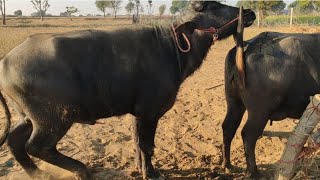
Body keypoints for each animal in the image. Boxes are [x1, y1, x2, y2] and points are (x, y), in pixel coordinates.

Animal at [0, 0, 255, 179]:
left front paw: (140, 169)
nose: (249, 13)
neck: (170, 48)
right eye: (214, 6)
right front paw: (152, 173)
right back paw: (81, 170)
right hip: (56, 117)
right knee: (37, 146)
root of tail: (5, 61)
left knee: (14, 140)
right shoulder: (150, 112)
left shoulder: (137, 114)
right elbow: (147, 146)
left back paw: (38, 173)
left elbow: (137, 145)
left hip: (28, 117)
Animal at [222, 31, 320, 179]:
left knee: (228, 127)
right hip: (259, 112)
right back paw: (253, 172)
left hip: (234, 102)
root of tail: (246, 46)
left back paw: (227, 165)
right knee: (249, 135)